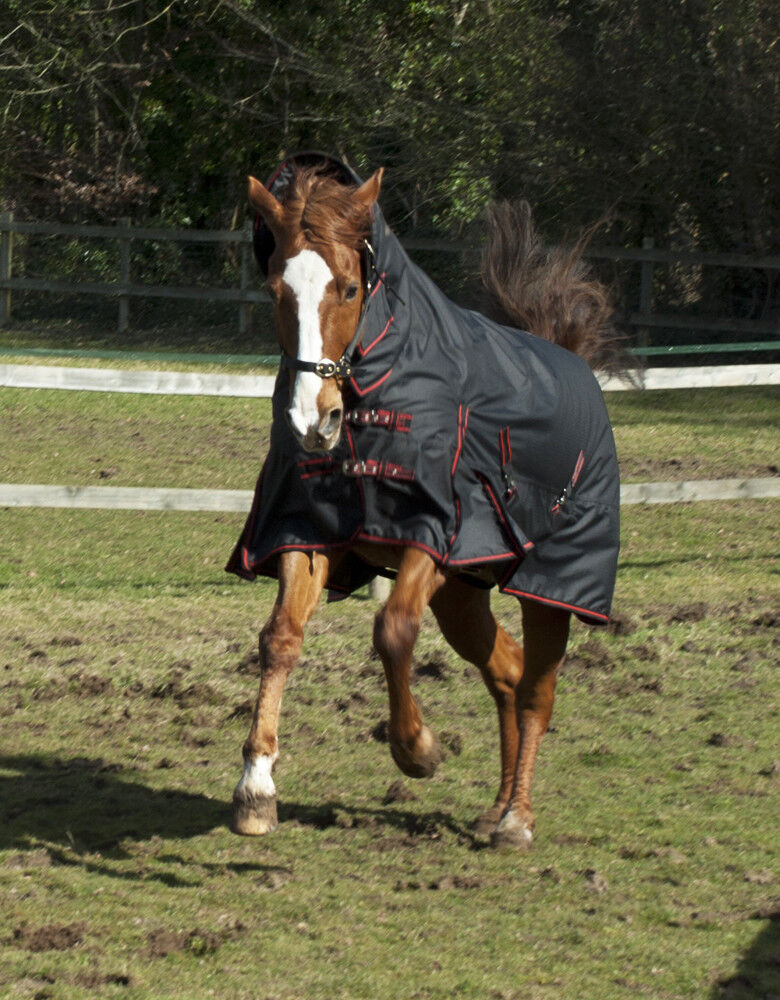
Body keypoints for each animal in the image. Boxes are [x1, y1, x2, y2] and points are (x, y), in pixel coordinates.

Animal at [228, 153, 621, 849]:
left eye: (349, 290)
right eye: (276, 290)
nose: (312, 421)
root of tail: (573, 363)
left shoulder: (433, 535)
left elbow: (392, 631)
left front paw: (418, 749)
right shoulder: (310, 530)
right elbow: (280, 639)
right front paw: (256, 787)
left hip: (551, 588)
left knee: (537, 691)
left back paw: (516, 819)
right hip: (465, 594)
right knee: (508, 672)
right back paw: (495, 807)